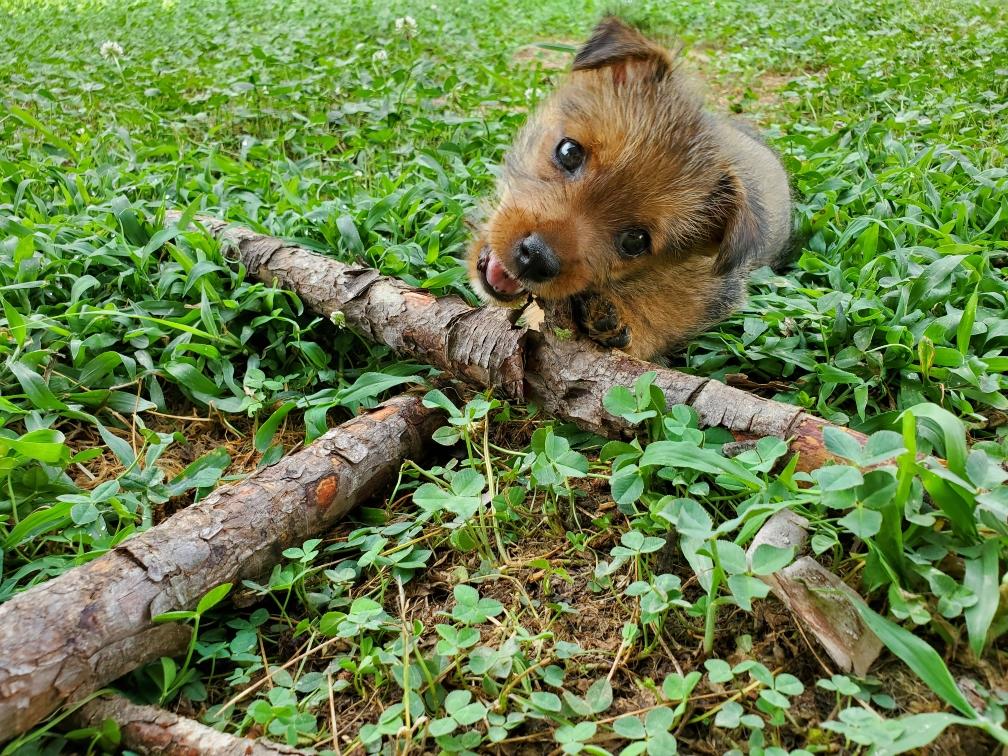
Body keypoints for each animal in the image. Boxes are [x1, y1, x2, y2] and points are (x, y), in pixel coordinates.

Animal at [468, 16, 793, 360]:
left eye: (635, 241)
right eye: (568, 152)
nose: (536, 259)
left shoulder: (714, 292)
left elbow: (663, 315)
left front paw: (621, 322)